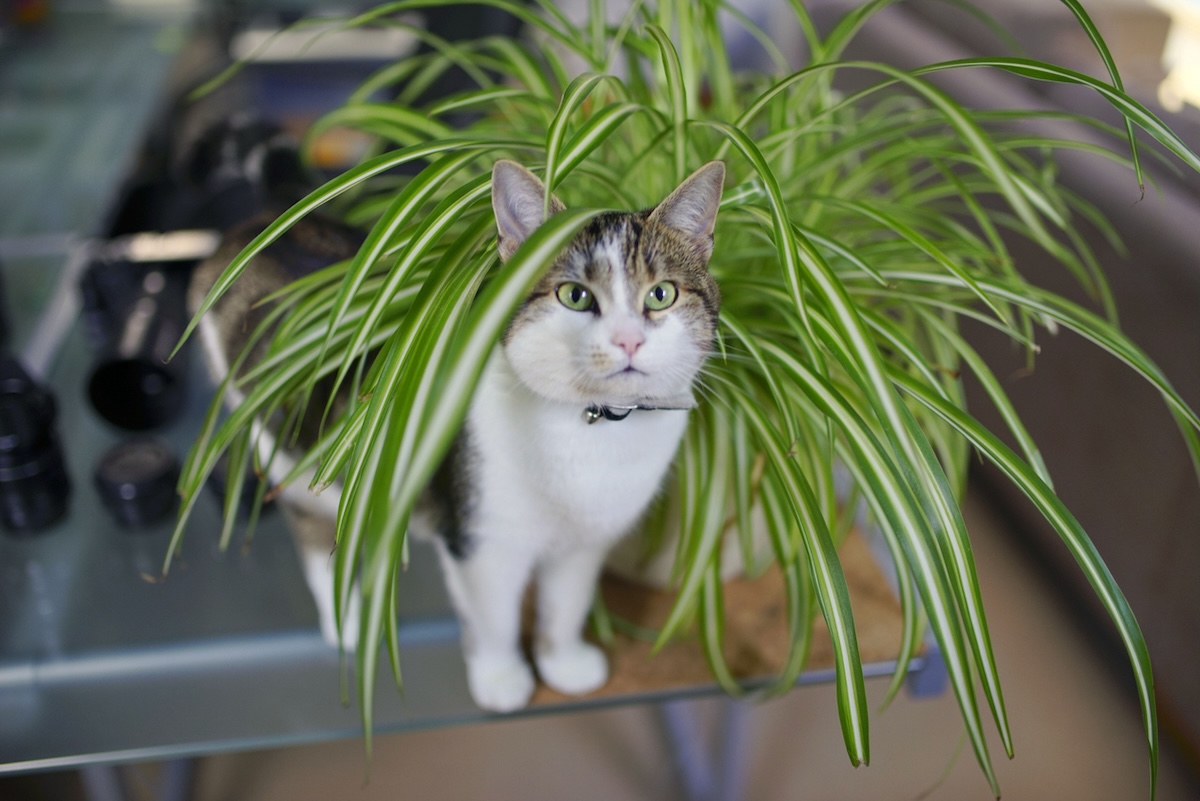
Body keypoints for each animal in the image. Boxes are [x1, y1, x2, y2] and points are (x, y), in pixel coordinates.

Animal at [192, 159, 724, 709]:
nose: (628, 340)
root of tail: (251, 227)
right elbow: (495, 617)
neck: (593, 431)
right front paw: (501, 678)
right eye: (575, 296)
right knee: (314, 532)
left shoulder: (584, 543)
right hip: (285, 456)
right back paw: (349, 622)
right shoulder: (481, 540)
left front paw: (563, 664)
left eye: (661, 294)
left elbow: (566, 605)